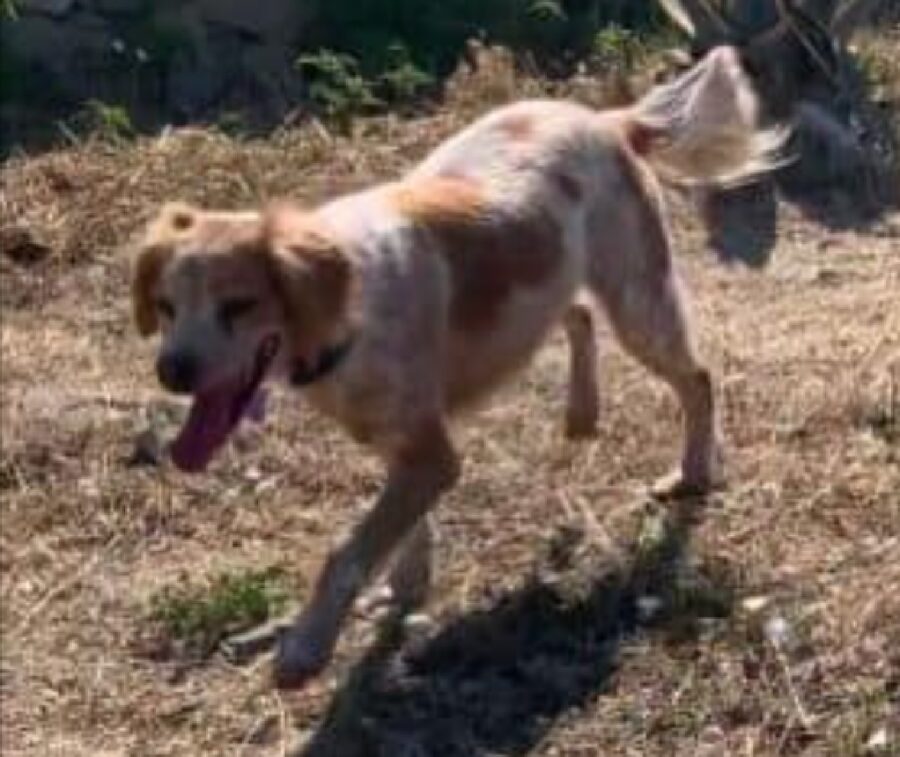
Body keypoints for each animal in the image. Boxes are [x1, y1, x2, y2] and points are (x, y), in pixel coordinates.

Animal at [132, 45, 788, 684]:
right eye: (165, 306)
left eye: (239, 306)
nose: (172, 371)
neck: (346, 307)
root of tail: (606, 119)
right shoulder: (405, 441)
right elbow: (403, 529)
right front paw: (406, 583)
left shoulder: (429, 453)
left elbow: (347, 552)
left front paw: (307, 644)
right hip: (559, 281)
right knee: (577, 315)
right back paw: (581, 412)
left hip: (638, 302)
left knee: (696, 378)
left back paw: (693, 470)